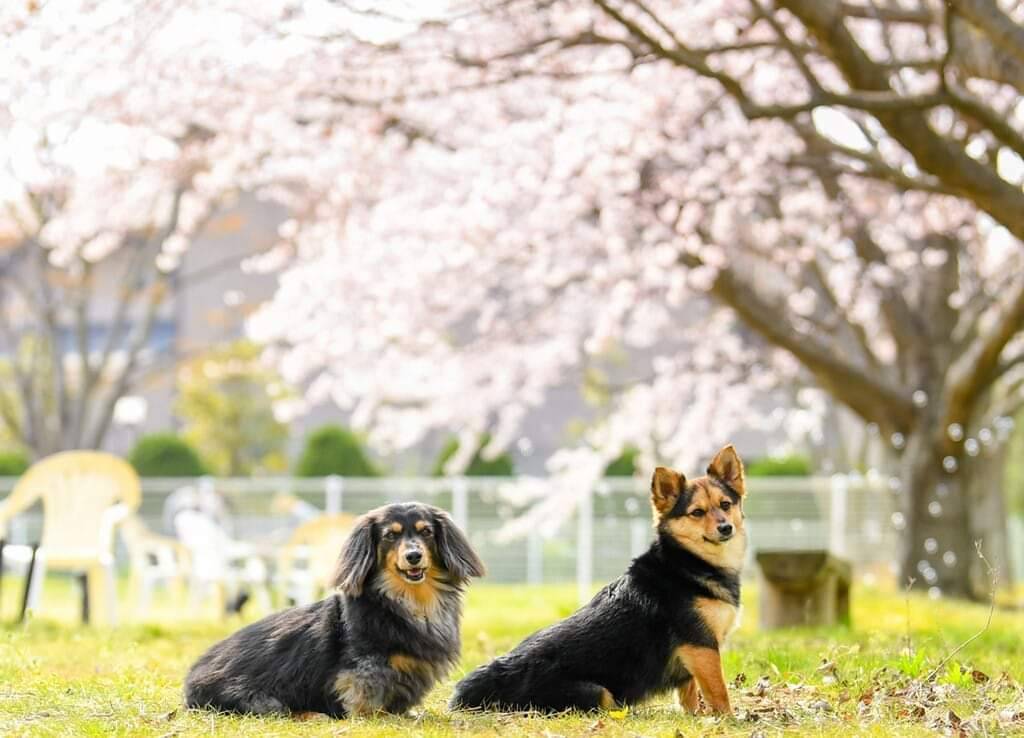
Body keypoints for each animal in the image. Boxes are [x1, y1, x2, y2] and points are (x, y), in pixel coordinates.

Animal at [183, 501, 483, 712]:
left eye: (426, 532)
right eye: (390, 535)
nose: (413, 556)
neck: (410, 602)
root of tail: (190, 680)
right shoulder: (364, 668)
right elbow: (363, 696)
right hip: (264, 700)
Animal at [452, 444, 749, 712]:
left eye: (725, 505)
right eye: (697, 513)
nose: (726, 528)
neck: (687, 562)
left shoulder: (693, 655)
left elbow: (690, 693)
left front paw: (695, 718)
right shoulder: (702, 647)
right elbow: (718, 692)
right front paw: (727, 721)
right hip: (598, 693)